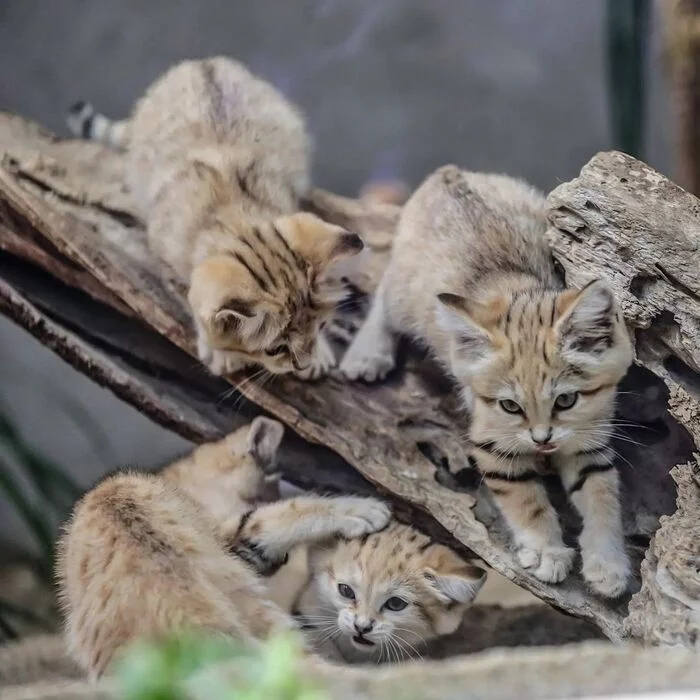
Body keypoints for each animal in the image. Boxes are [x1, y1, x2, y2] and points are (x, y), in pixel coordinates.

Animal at [67, 57, 360, 380]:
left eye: (321, 325)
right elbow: (191, 302)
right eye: (276, 349)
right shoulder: (165, 255)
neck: (235, 218)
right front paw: (220, 352)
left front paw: (320, 353)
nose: (304, 363)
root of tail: (201, 62)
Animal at [342, 165, 636, 596]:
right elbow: (525, 498)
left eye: (566, 401)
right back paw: (367, 353)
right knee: (383, 291)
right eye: (510, 406)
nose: (541, 439)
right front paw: (546, 551)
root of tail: (449, 174)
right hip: (406, 296)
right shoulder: (491, 443)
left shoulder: (590, 439)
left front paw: (607, 563)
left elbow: (602, 495)